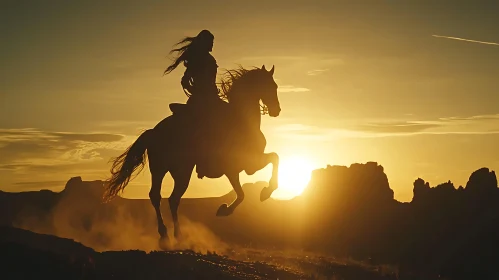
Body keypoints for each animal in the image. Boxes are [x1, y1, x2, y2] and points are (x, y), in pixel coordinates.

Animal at [102, 65, 282, 241]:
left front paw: (264, 192)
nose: (277, 110)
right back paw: (168, 233)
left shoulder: (246, 167)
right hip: (171, 170)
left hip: (171, 171)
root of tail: (153, 132)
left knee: (167, 198)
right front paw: (230, 208)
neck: (242, 121)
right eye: (271, 86)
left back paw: (173, 234)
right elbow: (244, 191)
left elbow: (273, 159)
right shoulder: (236, 168)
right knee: (163, 197)